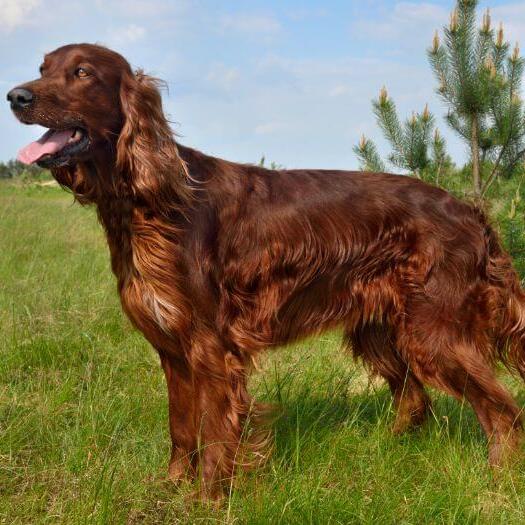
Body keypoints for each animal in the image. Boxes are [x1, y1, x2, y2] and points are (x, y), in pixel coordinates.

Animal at [7, 44, 524, 496]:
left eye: (82, 72)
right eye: (43, 67)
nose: (16, 96)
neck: (150, 201)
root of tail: (471, 211)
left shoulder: (210, 347)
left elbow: (215, 434)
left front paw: (207, 500)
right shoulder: (171, 347)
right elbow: (181, 428)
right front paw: (170, 488)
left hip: (433, 332)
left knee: (502, 411)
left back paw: (497, 483)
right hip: (380, 328)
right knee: (416, 400)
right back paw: (385, 455)